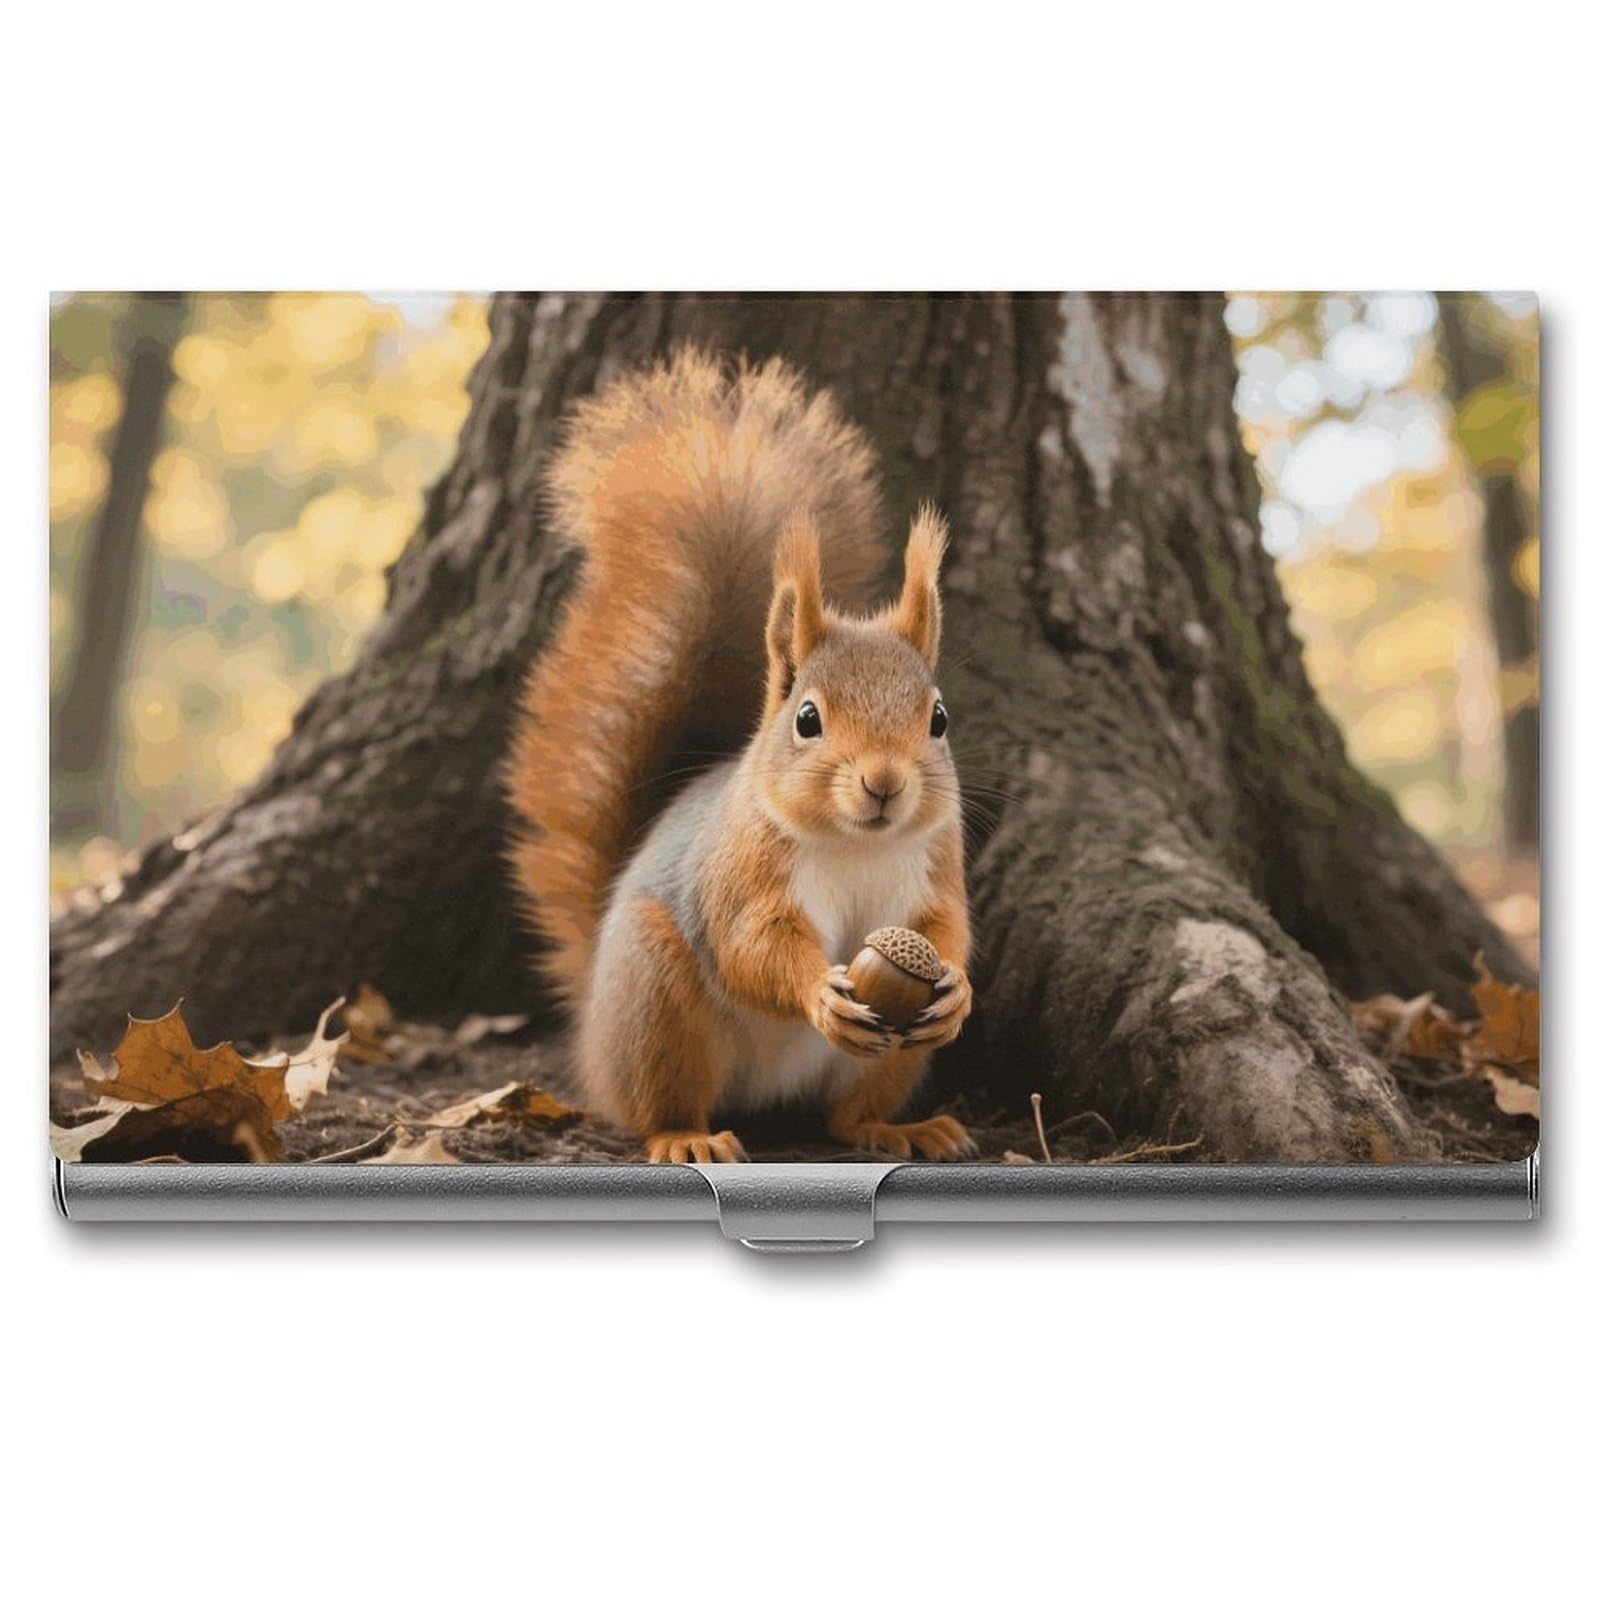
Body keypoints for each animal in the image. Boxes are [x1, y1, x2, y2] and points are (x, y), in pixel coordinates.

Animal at [505, 347, 973, 1164]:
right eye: (807, 718)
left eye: (938, 719)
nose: (884, 782)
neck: (856, 846)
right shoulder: (743, 869)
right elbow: (751, 945)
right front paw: (817, 990)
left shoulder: (936, 866)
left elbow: (951, 927)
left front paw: (957, 991)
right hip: (656, 997)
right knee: (660, 1099)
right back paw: (687, 1137)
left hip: (888, 1059)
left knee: (847, 1116)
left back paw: (896, 1127)